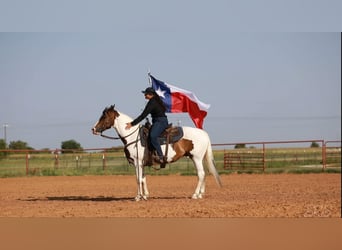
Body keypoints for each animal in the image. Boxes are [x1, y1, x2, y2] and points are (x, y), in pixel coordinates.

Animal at [92, 104, 222, 200]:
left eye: (104, 117)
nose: (93, 129)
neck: (133, 136)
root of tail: (203, 133)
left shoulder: (137, 162)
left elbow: (138, 179)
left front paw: (138, 197)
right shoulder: (141, 163)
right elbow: (143, 178)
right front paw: (145, 195)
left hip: (197, 158)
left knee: (201, 174)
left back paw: (195, 195)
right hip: (197, 158)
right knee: (203, 174)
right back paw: (200, 194)